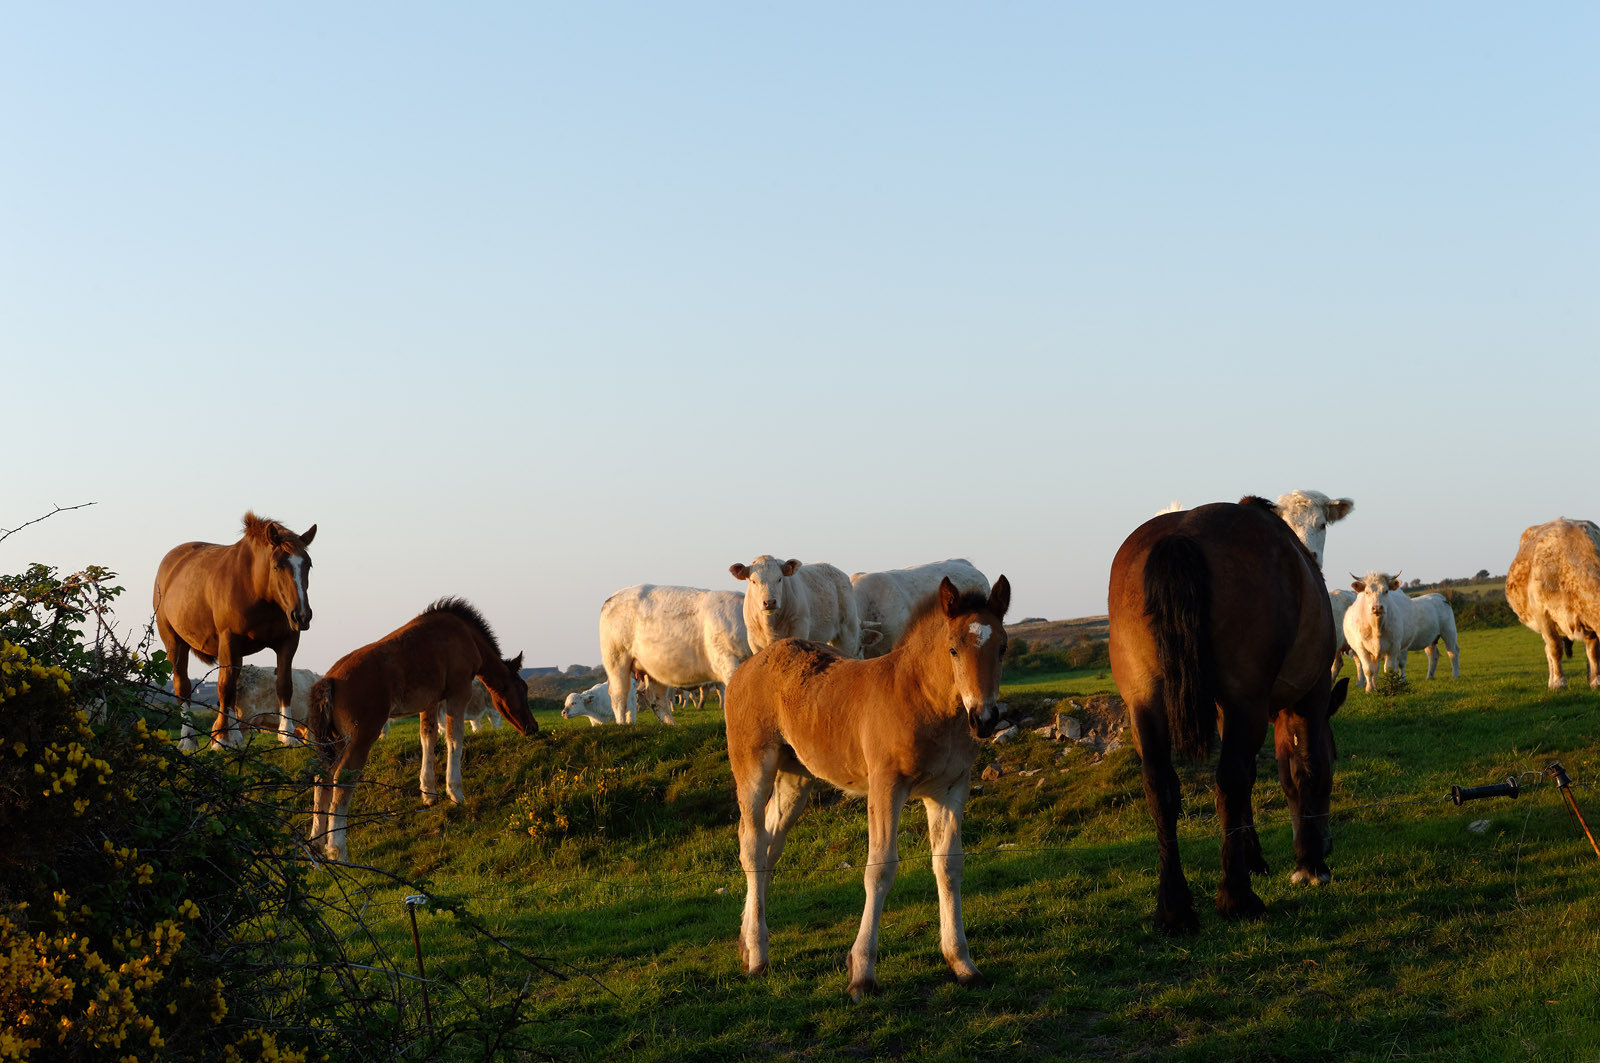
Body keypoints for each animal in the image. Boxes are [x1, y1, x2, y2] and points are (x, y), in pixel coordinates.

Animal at [153, 512, 317, 751]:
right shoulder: (229, 640)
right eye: (277, 566)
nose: (302, 615)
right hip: (175, 643)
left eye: (308, 565)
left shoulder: (288, 641)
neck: (256, 589)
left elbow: (284, 685)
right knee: (183, 687)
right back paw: (189, 739)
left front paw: (287, 735)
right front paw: (221, 739)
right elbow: (225, 687)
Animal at [306, 598, 537, 862]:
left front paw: (428, 793)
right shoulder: (459, 692)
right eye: (523, 688)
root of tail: (329, 680)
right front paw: (455, 793)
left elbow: (428, 737)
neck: (466, 635)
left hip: (334, 742)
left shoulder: (430, 701)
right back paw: (337, 849)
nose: (533, 727)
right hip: (360, 738)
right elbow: (455, 739)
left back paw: (317, 846)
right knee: (342, 779)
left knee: (321, 777)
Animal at [725, 575, 1011, 1000]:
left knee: (771, 846)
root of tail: (746, 668)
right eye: (953, 649)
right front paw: (861, 973)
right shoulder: (885, 786)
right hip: (753, 766)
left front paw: (962, 963)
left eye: (1003, 647)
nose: (985, 718)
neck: (922, 698)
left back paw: (747, 943)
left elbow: (949, 866)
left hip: (796, 777)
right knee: (752, 845)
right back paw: (759, 958)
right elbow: (880, 868)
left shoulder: (950, 788)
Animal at [1108, 497, 1349, 936]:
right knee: (1229, 781)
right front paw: (1310, 864)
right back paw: (1236, 898)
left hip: (1144, 703)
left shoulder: (1226, 712)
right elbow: (1306, 769)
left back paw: (1175, 908)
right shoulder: (1311, 696)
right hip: (1246, 701)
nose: (1327, 843)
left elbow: (1255, 778)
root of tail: (1181, 533)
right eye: (1338, 757)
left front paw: (1253, 857)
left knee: (1161, 787)